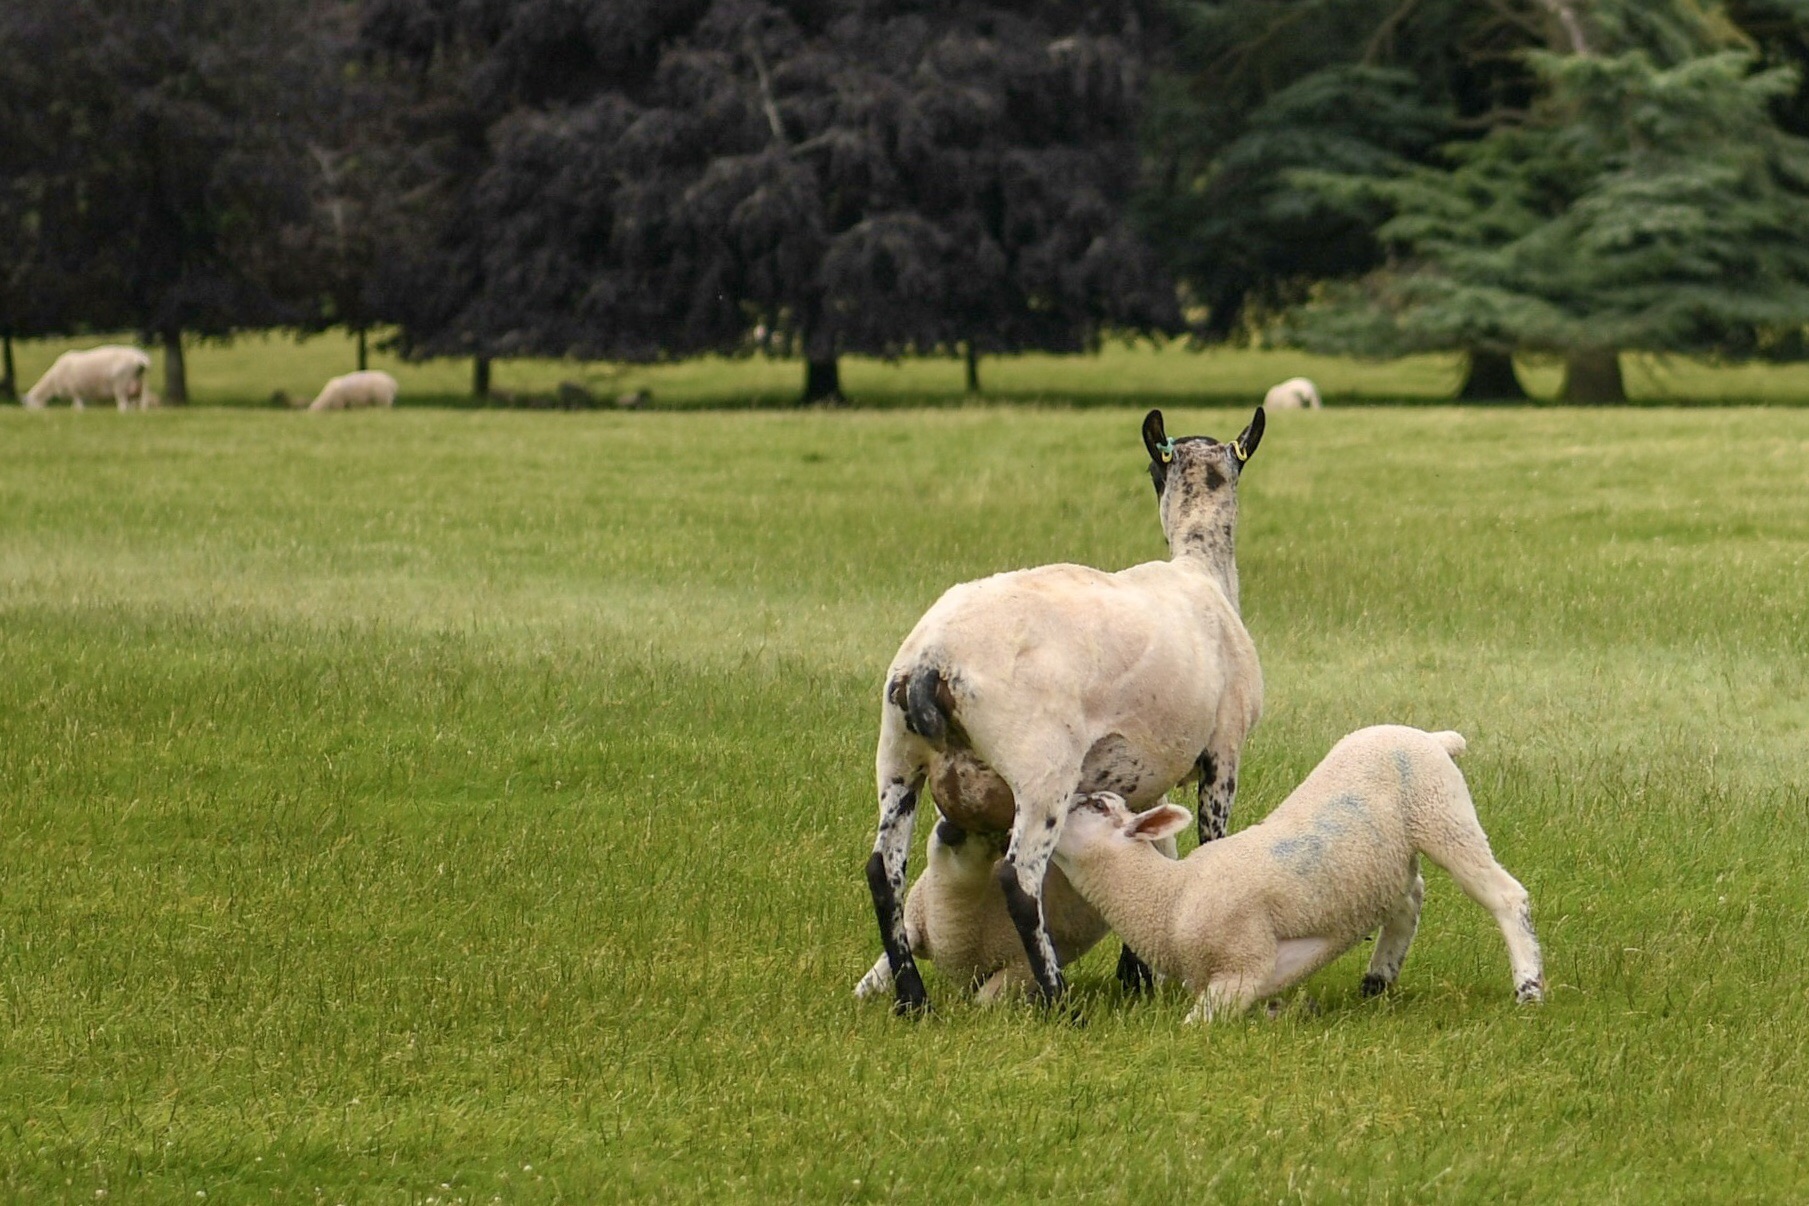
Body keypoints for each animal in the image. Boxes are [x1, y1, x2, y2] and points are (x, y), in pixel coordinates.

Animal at [23, 343, 153, 410]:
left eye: (29, 403)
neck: (52, 382)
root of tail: (140, 357)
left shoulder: (74, 390)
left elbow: (77, 403)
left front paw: (77, 410)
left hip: (121, 383)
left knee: (123, 404)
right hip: (142, 382)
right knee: (142, 401)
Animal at [853, 817, 1107, 1005]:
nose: (949, 827)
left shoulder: (1021, 963)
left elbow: (983, 1000)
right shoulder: (915, 922)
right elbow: (895, 951)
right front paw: (863, 992)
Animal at [1056, 726, 1548, 1026]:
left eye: (1097, 805)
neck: (1169, 895)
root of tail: (1431, 737)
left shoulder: (1243, 965)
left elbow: (1193, 1025)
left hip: (1442, 811)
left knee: (1506, 896)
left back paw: (1529, 988)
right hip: (1385, 858)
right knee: (1409, 899)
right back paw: (1378, 979)